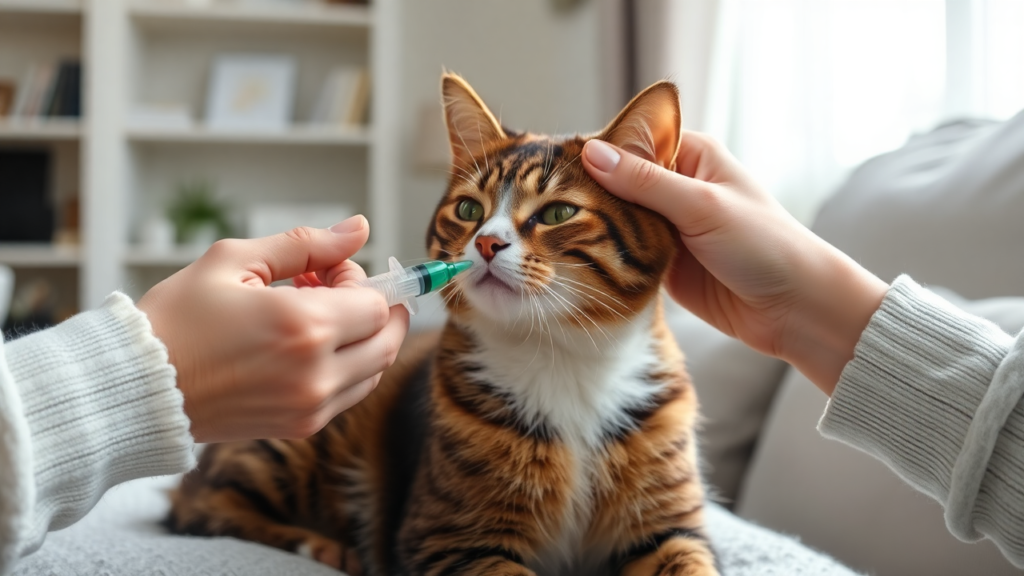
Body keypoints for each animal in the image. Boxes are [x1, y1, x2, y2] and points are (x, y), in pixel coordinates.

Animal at [167, 72, 716, 573]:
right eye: (469, 208)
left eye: (559, 212)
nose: (486, 243)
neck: (563, 358)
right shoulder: (450, 541)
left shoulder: (670, 531)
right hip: (293, 440)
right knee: (203, 506)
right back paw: (318, 544)